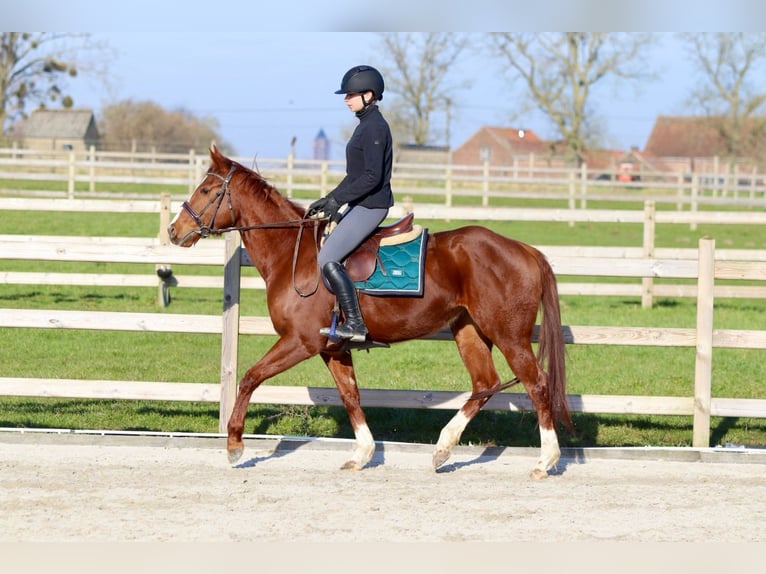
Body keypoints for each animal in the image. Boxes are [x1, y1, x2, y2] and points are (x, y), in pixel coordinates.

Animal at [171, 146, 572, 480]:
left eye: (206, 191)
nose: (175, 231)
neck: (292, 255)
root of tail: (524, 249)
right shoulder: (332, 348)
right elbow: (351, 396)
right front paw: (362, 454)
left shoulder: (299, 342)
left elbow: (249, 378)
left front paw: (234, 445)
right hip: (469, 331)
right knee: (485, 384)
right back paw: (442, 450)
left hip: (508, 335)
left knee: (537, 385)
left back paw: (545, 461)